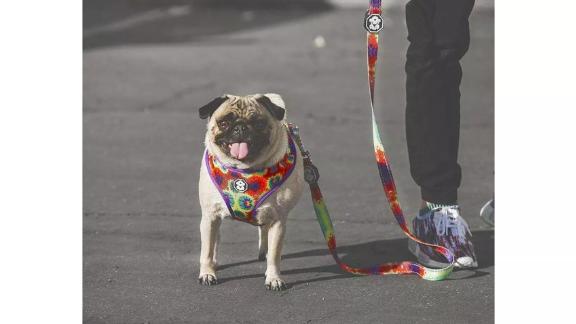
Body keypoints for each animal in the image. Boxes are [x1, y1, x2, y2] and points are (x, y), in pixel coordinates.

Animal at [197, 93, 306, 292]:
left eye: (259, 123)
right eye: (224, 123)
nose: (240, 127)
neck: (245, 170)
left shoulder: (278, 221)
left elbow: (275, 255)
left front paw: (274, 278)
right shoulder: (210, 216)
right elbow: (207, 250)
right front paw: (207, 273)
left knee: (264, 232)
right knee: (215, 240)